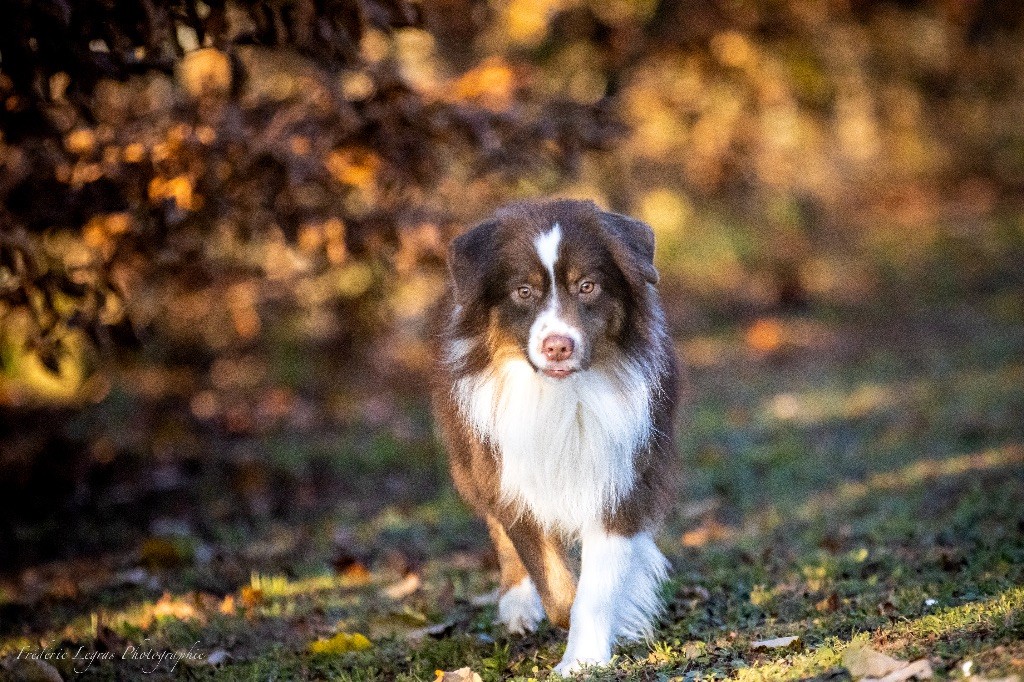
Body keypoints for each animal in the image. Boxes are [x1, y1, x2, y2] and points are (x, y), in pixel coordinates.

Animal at [432, 199, 679, 671]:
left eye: (587, 286)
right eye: (523, 292)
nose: (558, 346)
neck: (562, 395)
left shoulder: (622, 479)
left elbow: (595, 588)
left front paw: (583, 658)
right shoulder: (509, 475)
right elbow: (551, 580)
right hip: (471, 461)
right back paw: (516, 607)